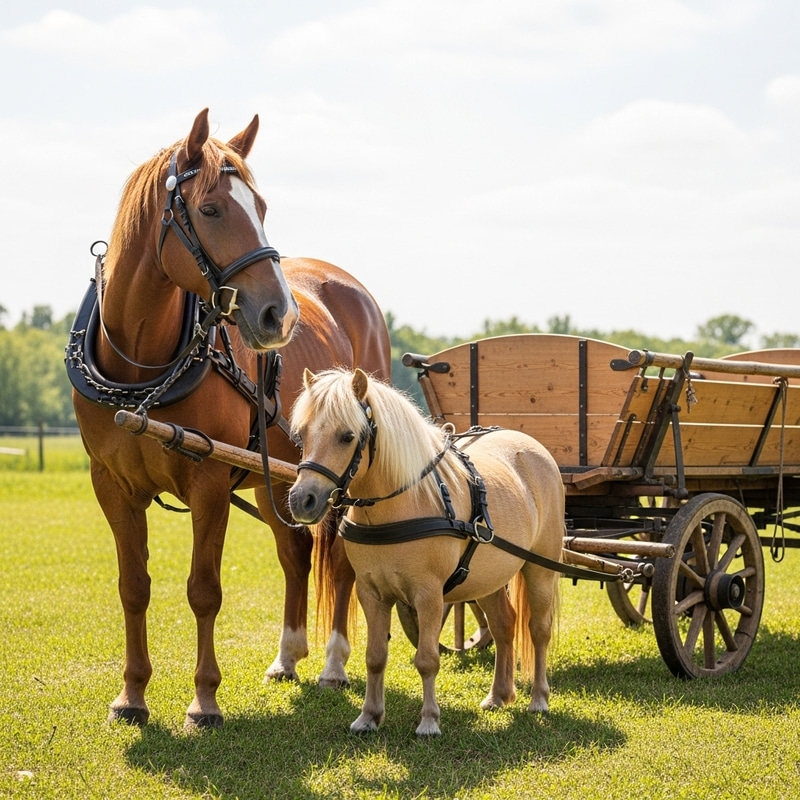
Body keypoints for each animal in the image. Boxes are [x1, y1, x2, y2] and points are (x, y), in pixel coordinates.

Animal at [69, 109, 390, 729]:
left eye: (260, 207)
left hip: (343, 472)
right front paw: (132, 695)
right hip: (280, 478)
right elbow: (133, 587)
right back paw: (287, 657)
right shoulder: (111, 484)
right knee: (295, 555)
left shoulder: (210, 481)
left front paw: (204, 700)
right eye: (212, 209)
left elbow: (204, 590)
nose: (279, 315)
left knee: (339, 559)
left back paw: (335, 664)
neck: (142, 366)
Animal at [287, 367, 564, 736]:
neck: (400, 505)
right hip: (487, 578)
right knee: (504, 625)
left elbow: (428, 659)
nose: (302, 500)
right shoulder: (371, 593)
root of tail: (532, 446)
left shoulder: (429, 595)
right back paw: (499, 696)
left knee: (538, 629)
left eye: (347, 436)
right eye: (301, 434)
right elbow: (375, 656)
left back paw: (539, 699)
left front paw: (430, 721)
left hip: (540, 570)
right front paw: (369, 716)